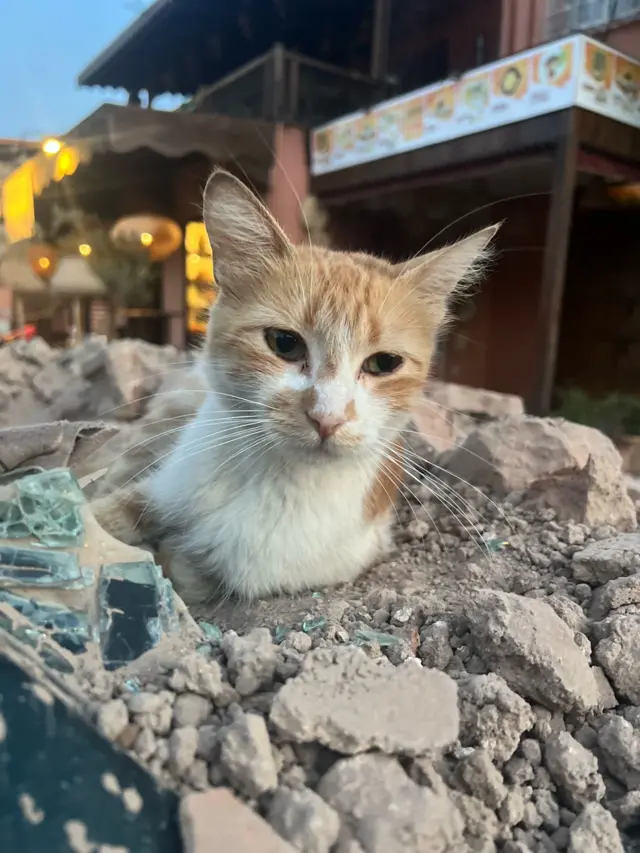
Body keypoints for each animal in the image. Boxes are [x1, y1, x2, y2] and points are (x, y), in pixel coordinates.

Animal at [91, 168, 500, 604]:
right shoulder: (165, 487)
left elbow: (203, 573)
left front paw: (180, 560)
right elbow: (109, 515)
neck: (276, 480)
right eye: (284, 343)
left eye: (383, 363)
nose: (328, 418)